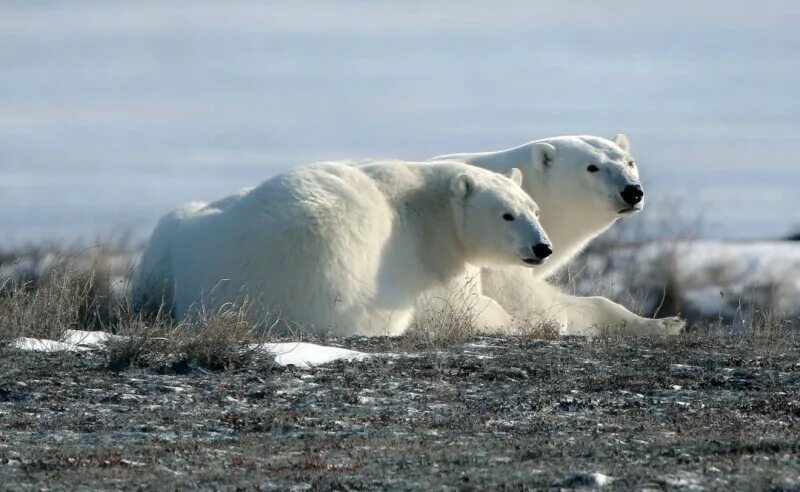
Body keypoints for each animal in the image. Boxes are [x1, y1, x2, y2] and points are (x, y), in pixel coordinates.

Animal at [133, 160, 556, 336]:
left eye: (534, 209)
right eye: (506, 215)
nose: (542, 247)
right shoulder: (432, 253)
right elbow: (461, 307)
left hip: (183, 235)